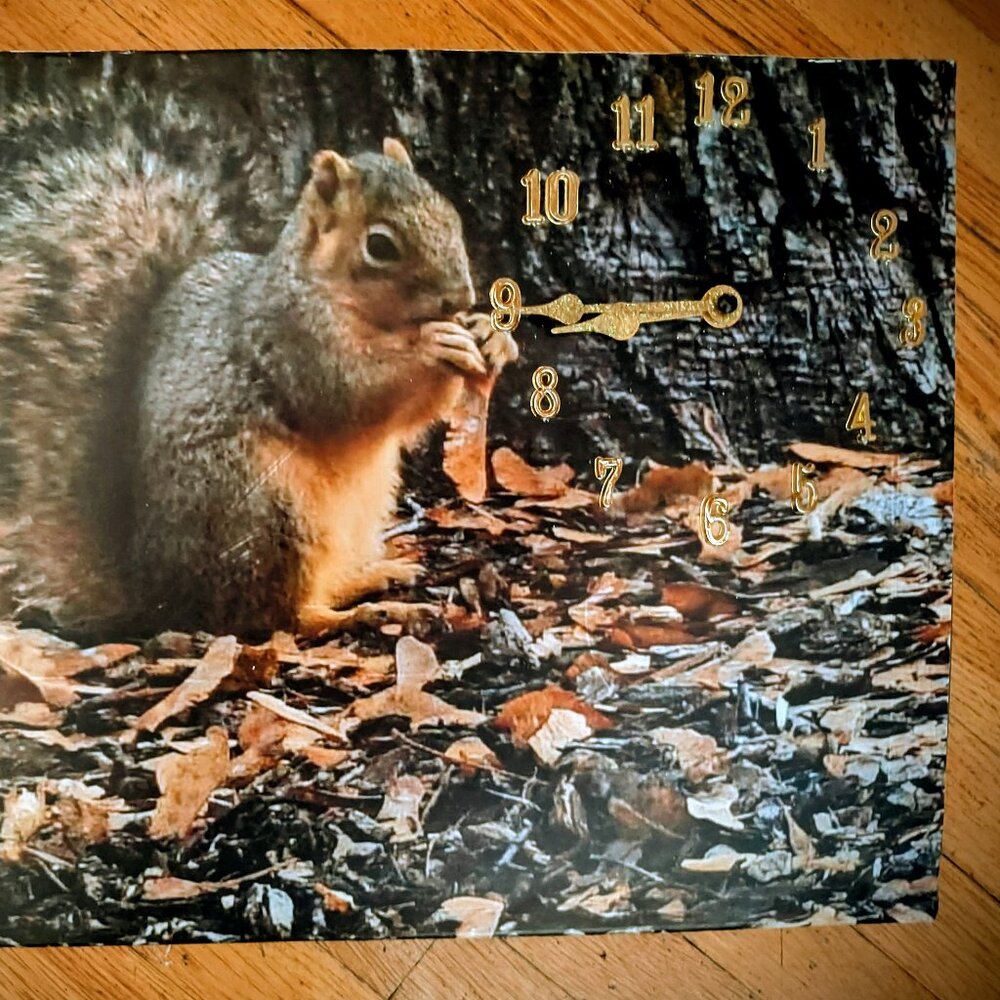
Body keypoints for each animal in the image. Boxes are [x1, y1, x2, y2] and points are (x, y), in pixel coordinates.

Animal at [0, 91, 517, 638]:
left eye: (451, 215)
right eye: (380, 245)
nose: (460, 298)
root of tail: (157, 595)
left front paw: (492, 337)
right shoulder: (290, 336)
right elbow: (349, 393)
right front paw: (435, 345)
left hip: (361, 503)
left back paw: (375, 576)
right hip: (264, 511)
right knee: (281, 617)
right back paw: (368, 612)